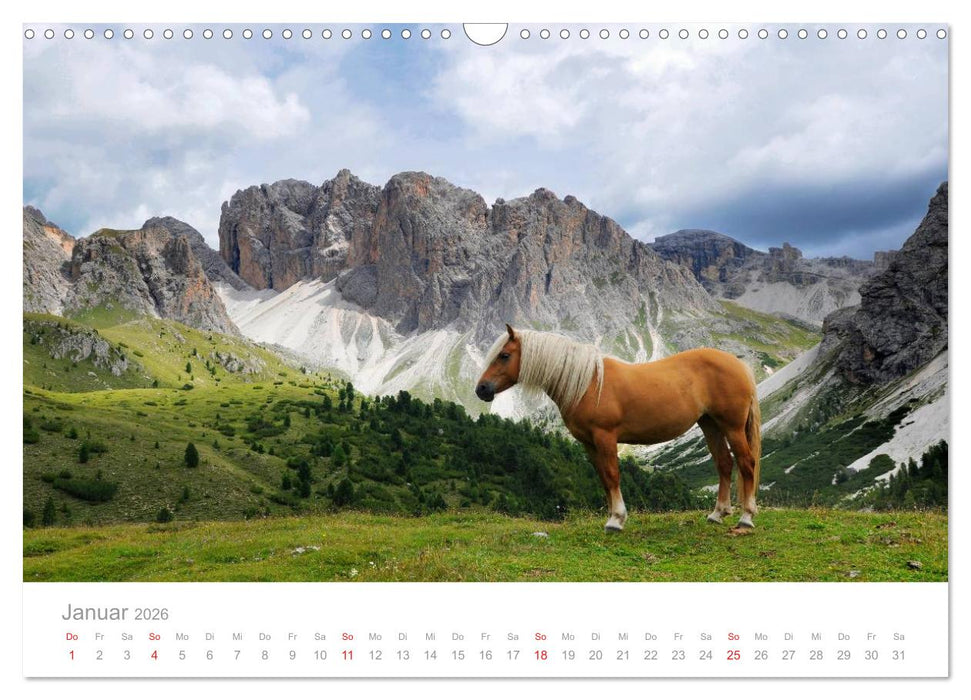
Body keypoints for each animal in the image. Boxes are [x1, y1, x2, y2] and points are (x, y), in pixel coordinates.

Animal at [475, 324, 761, 532]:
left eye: (504, 355)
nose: (482, 389)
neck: (587, 383)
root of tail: (739, 365)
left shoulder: (605, 437)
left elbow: (613, 474)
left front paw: (616, 521)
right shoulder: (588, 443)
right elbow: (603, 477)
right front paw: (612, 516)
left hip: (732, 426)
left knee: (746, 463)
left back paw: (746, 517)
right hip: (710, 425)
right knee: (724, 463)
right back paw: (717, 514)